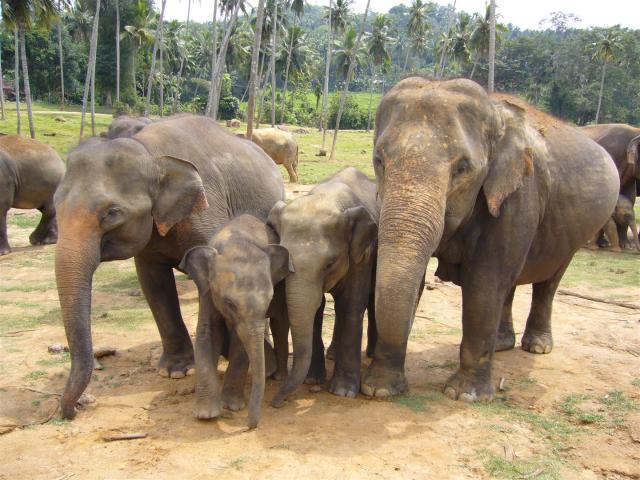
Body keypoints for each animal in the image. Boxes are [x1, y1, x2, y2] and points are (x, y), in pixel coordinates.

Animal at [54, 114, 285, 419]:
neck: (150, 151)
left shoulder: (209, 212)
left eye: (111, 213)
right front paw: (175, 370)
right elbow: (153, 283)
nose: (72, 411)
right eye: (55, 204)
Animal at [180, 214, 292, 428]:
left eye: (269, 299)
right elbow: (208, 332)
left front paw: (231, 406)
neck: (235, 242)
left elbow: (240, 342)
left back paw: (274, 374)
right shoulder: (206, 291)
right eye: (229, 303)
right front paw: (206, 415)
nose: (250, 426)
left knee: (280, 324)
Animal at [267, 167, 379, 406]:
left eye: (329, 264)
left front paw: (343, 392)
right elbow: (317, 308)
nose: (276, 402)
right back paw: (332, 355)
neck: (326, 197)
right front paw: (313, 380)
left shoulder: (363, 254)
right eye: (285, 261)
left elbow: (352, 304)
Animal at [362, 77, 619, 402]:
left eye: (462, 168)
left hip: (572, 236)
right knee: (510, 283)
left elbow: (483, 284)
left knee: (547, 281)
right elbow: (418, 279)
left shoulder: (519, 196)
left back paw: (537, 346)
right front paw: (380, 389)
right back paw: (501, 344)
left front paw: (464, 395)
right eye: (379, 160)